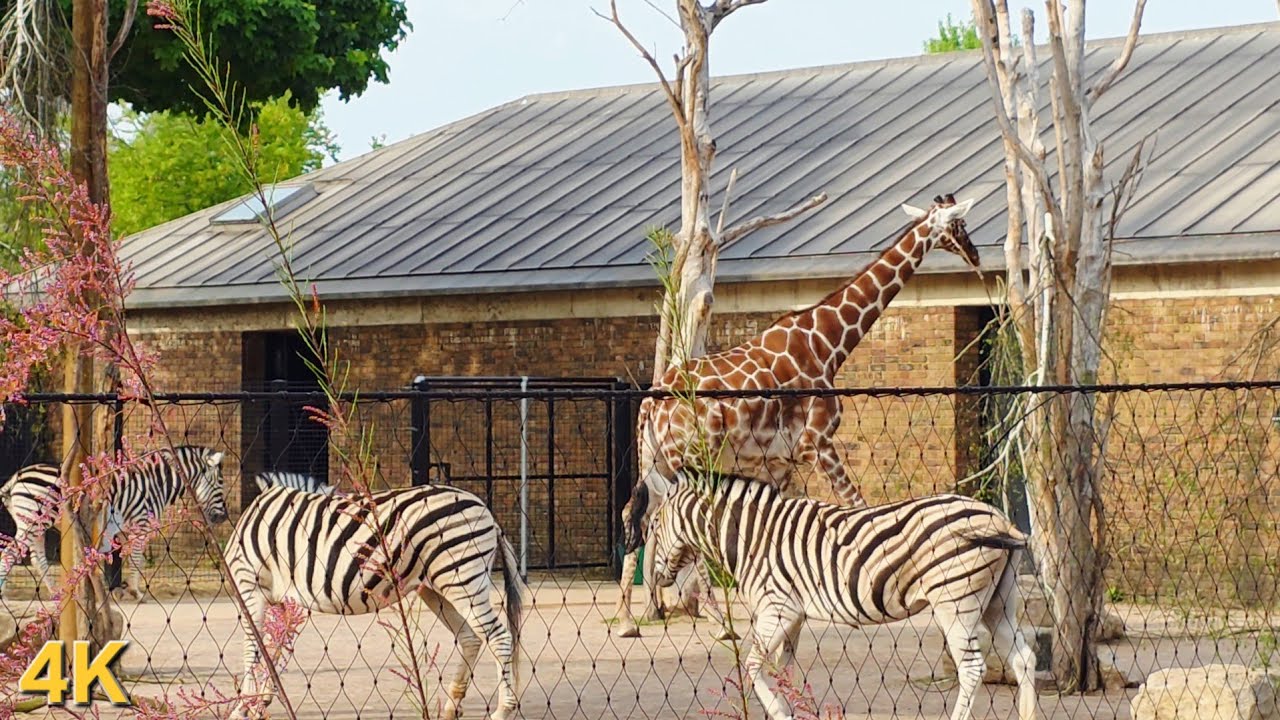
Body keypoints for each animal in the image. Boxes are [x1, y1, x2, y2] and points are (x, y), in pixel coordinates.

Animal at [0, 445, 229, 600]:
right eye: (220, 483)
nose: (223, 518)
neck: (156, 485)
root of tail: (16, 477)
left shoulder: (124, 529)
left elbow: (133, 558)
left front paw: (127, 588)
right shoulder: (141, 523)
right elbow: (136, 557)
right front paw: (137, 593)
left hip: (37, 524)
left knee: (37, 559)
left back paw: (55, 592)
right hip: (32, 520)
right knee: (9, 553)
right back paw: (4, 595)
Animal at [226, 484, 525, 720]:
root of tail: (486, 511)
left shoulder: (250, 587)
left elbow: (253, 650)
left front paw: (243, 707)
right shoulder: (280, 600)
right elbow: (272, 648)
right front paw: (260, 701)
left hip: (463, 579)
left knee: (499, 637)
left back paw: (502, 710)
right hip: (439, 589)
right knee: (471, 638)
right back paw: (453, 705)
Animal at [613, 194, 982, 638]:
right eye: (960, 225)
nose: (975, 255)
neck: (828, 341)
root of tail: (651, 402)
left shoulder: (781, 460)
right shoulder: (818, 443)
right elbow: (853, 504)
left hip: (658, 460)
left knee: (635, 512)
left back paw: (630, 619)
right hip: (687, 456)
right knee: (667, 517)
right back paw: (718, 622)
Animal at [648, 473, 1038, 720]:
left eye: (652, 525)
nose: (655, 578)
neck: (752, 537)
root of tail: (1000, 519)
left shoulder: (777, 608)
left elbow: (752, 665)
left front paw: (780, 712)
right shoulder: (794, 616)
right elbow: (782, 672)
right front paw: (790, 710)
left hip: (956, 602)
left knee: (972, 667)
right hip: (997, 603)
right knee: (1024, 658)